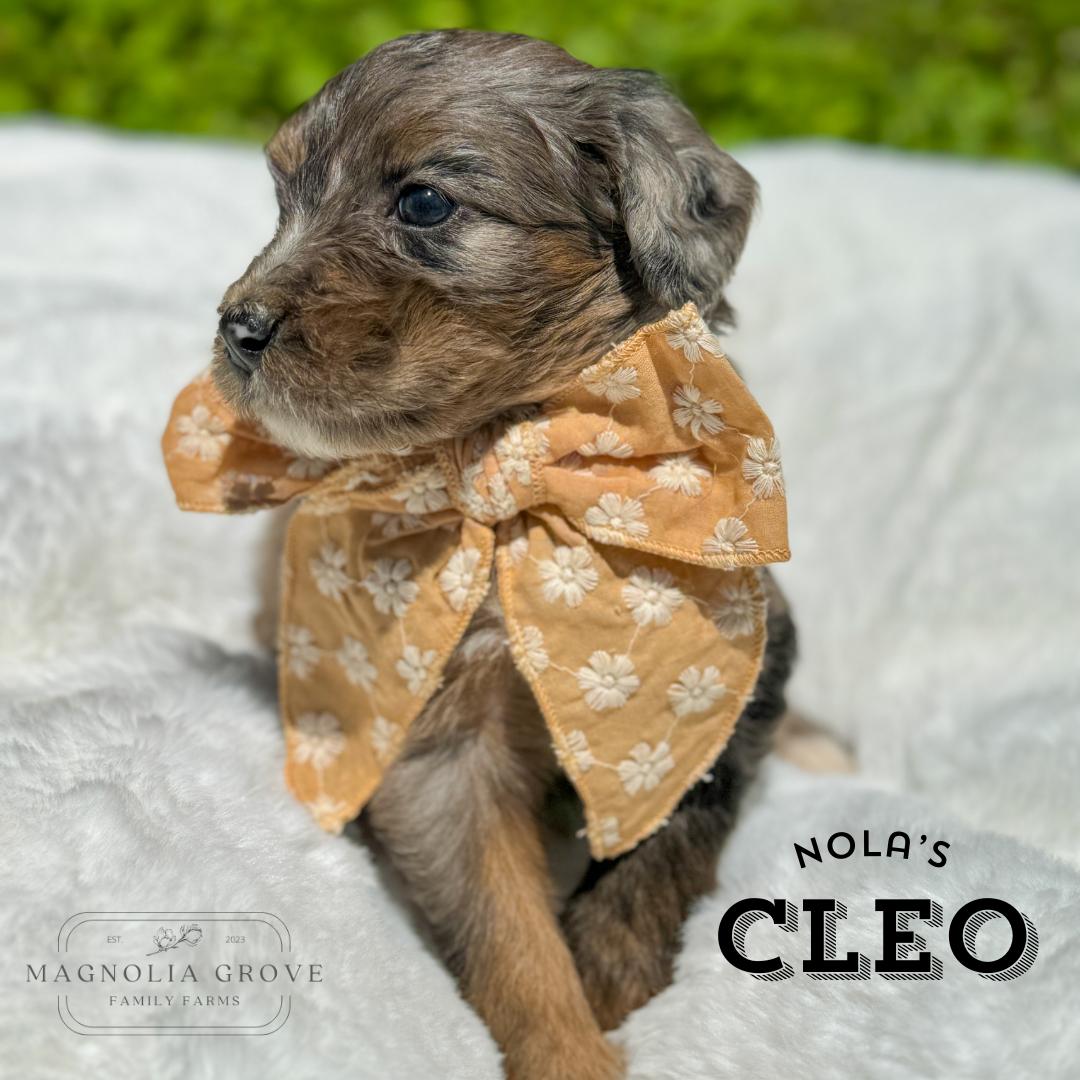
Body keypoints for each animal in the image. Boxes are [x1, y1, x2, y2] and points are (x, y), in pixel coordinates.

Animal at [211, 30, 797, 1080]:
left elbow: (663, 849)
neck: (511, 474)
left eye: (423, 203)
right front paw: (574, 1047)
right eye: (283, 196)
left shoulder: (721, 680)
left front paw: (611, 980)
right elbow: (511, 938)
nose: (237, 328)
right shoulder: (439, 745)